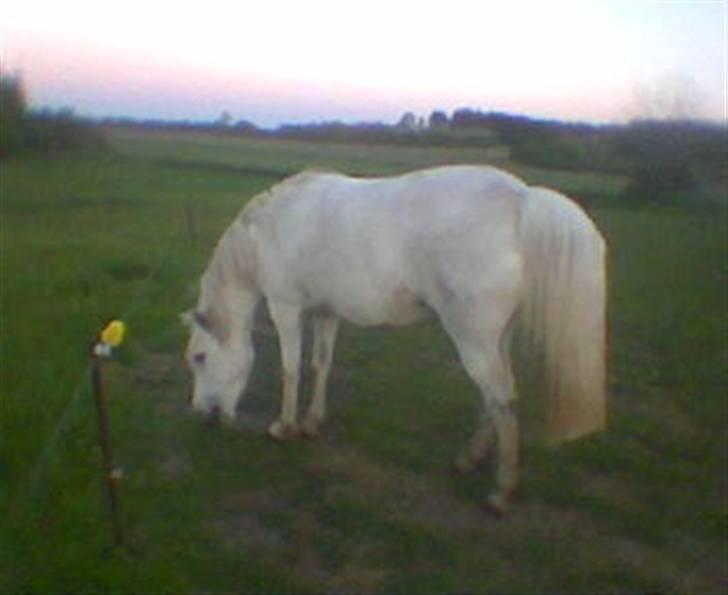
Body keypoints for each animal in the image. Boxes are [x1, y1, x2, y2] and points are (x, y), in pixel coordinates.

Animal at [182, 165, 607, 513]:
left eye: (200, 358)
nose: (202, 415)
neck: (270, 229)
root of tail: (521, 199)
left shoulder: (285, 307)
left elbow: (290, 368)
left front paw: (283, 427)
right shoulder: (326, 312)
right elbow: (321, 365)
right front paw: (311, 422)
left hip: (474, 340)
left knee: (502, 401)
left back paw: (500, 492)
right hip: (494, 340)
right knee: (496, 397)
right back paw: (469, 459)